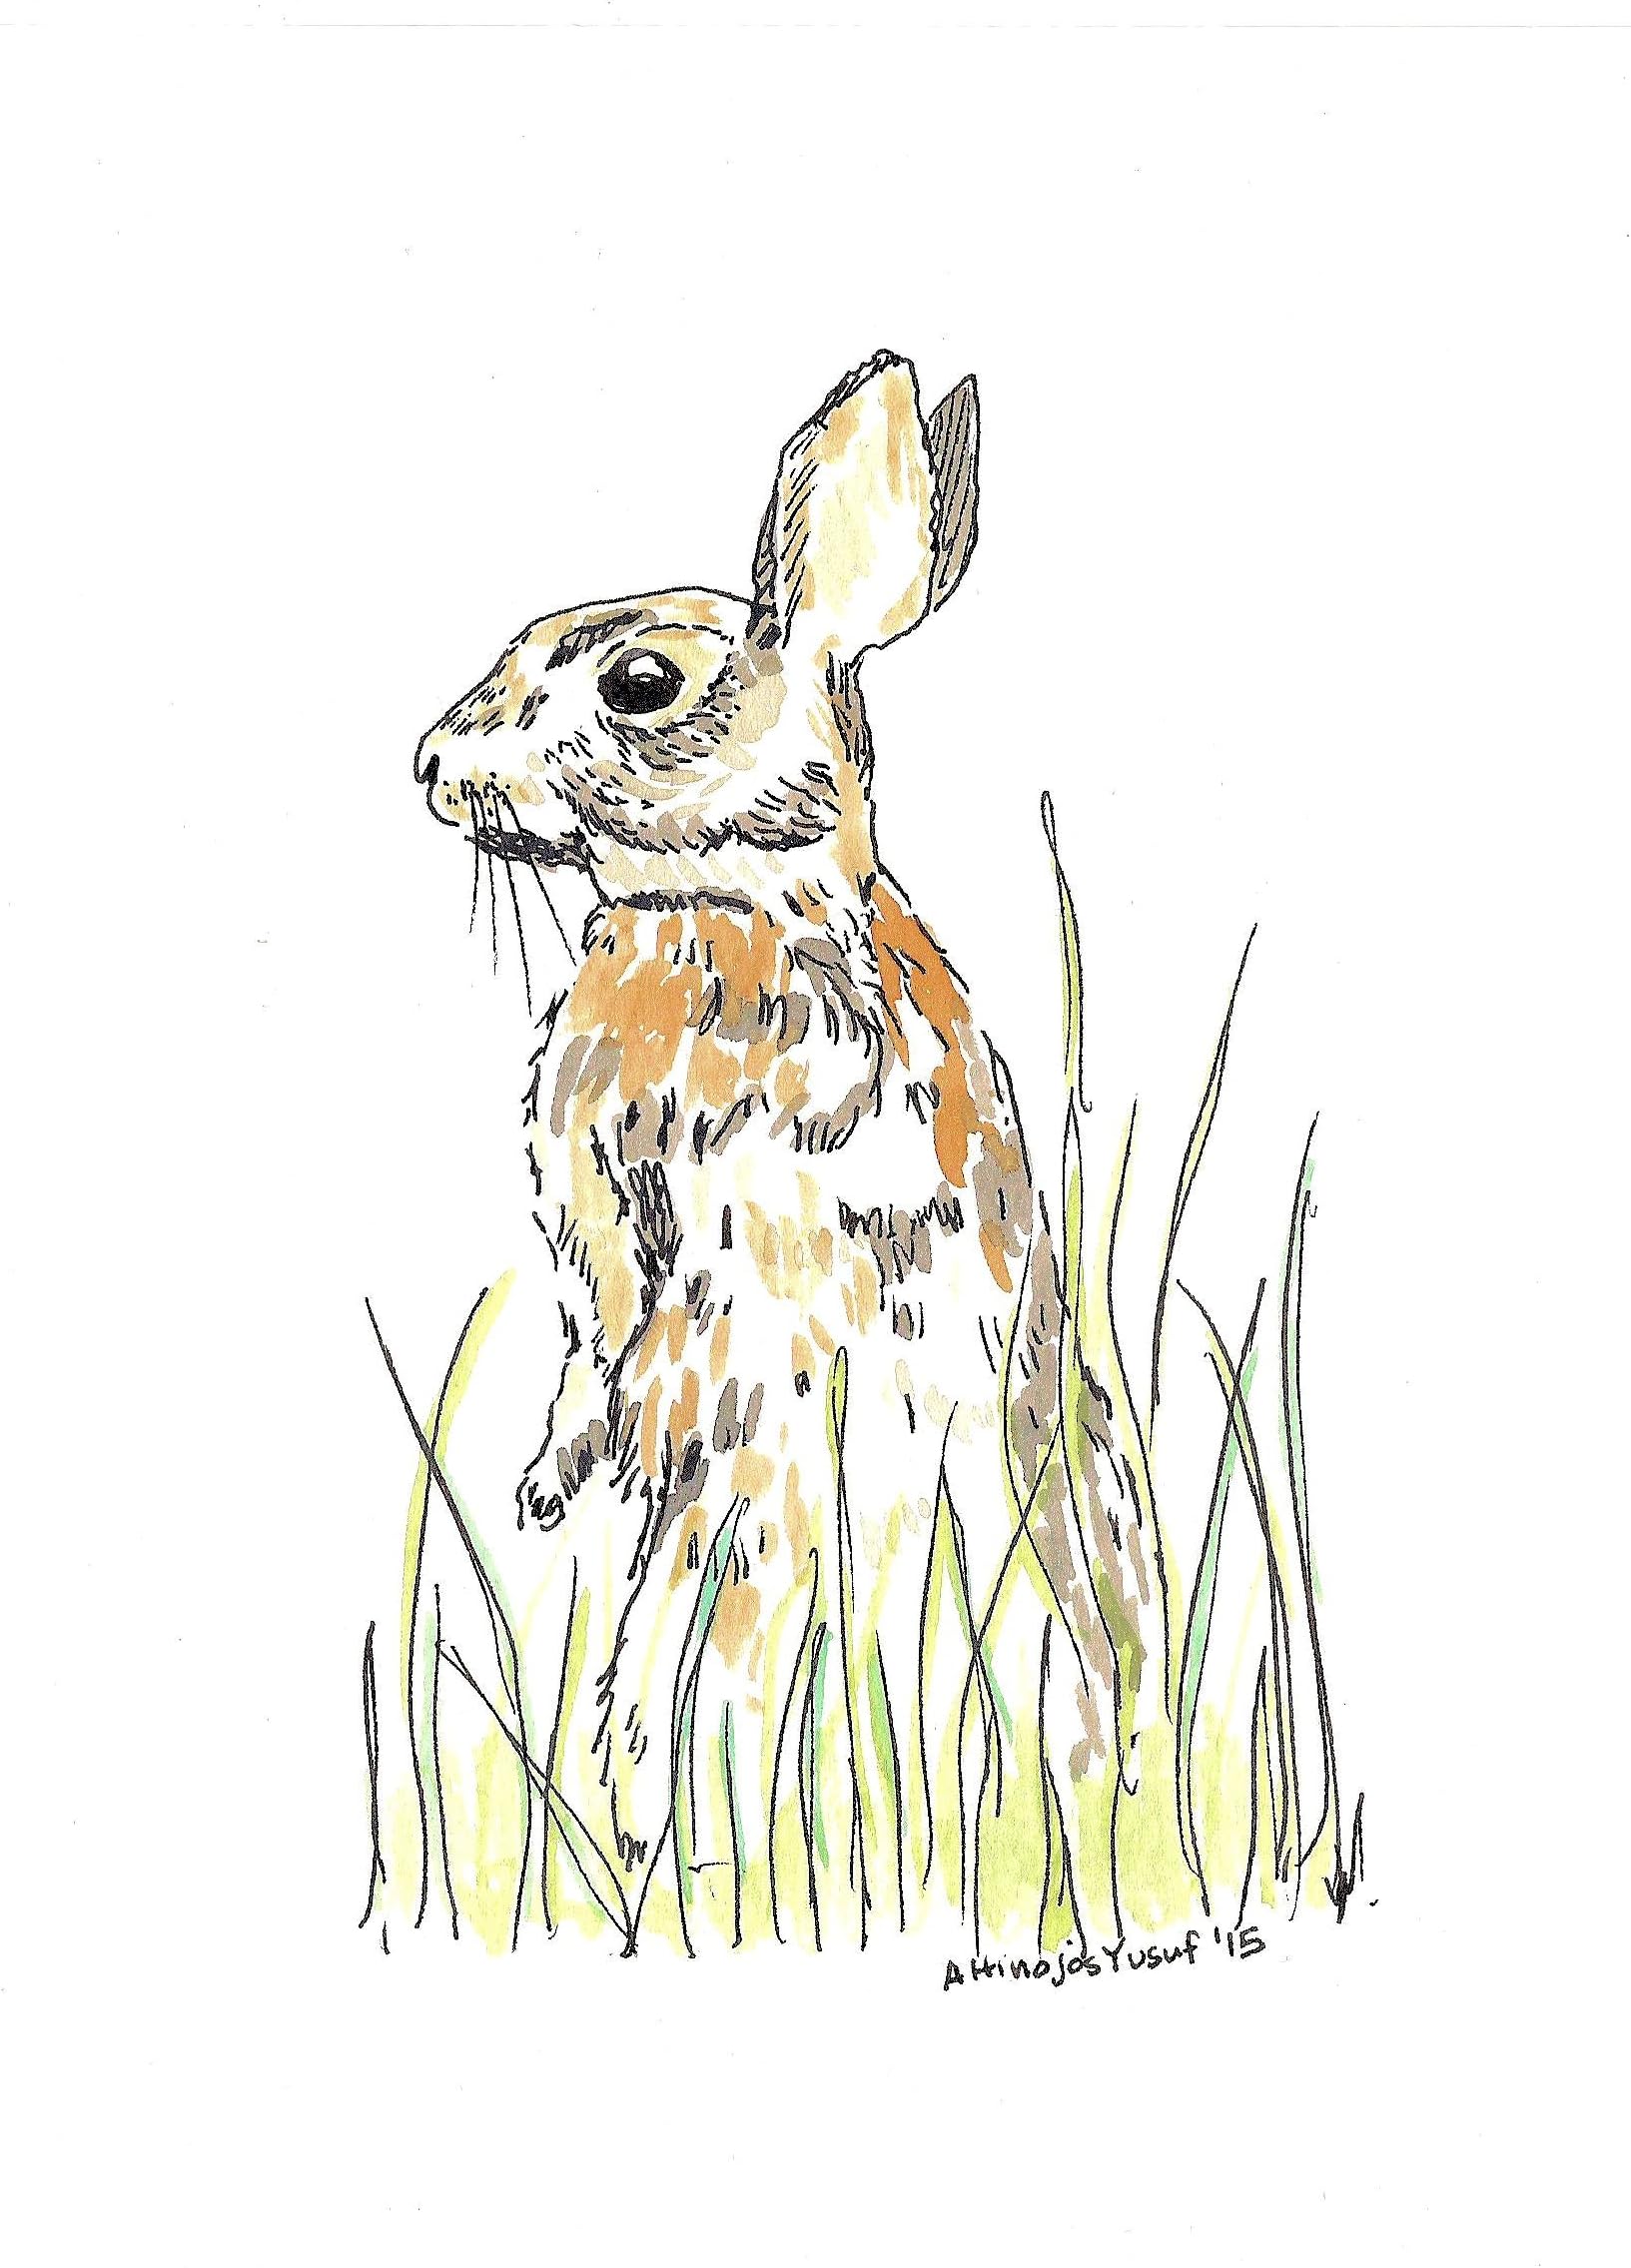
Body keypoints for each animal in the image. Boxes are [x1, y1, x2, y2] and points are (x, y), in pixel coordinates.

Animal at [412, 351, 1156, 1947]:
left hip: (731, 1552)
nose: (431, 762)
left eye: (639, 684)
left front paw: (556, 1476)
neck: (749, 895)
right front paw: (547, 1490)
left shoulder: (617, 1209)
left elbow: (606, 1325)